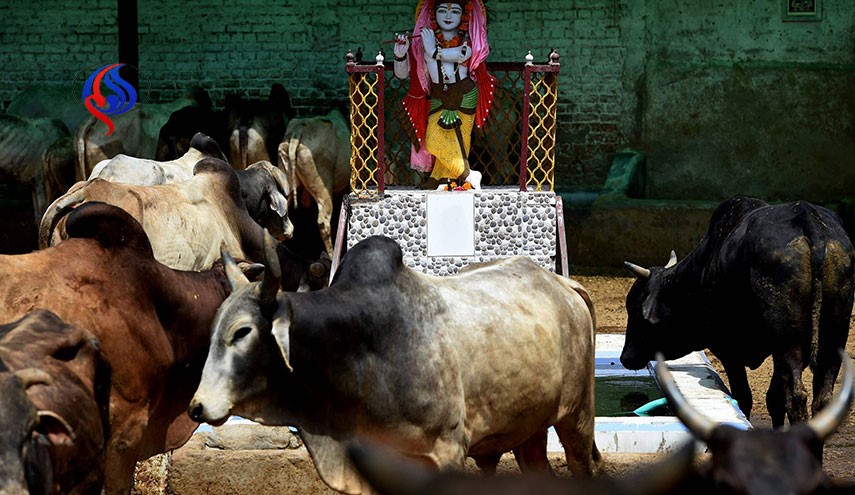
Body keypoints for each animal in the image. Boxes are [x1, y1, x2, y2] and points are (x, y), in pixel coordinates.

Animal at [620, 198, 852, 430]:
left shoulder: (728, 349)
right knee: (822, 400)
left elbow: (744, 397)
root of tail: (807, 218)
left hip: (789, 343)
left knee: (796, 398)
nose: (625, 357)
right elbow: (774, 400)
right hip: (834, 338)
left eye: (635, 309)